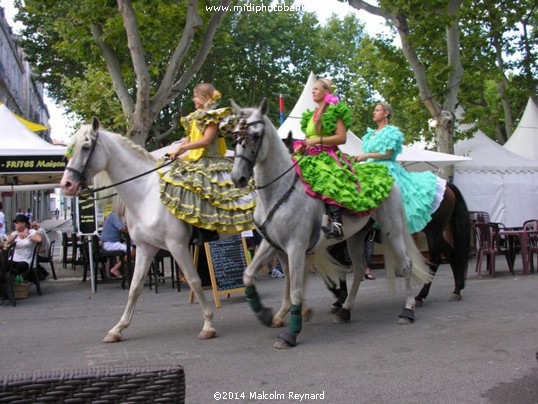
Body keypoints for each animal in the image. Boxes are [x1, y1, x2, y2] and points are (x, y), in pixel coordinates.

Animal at [63, 118, 220, 342]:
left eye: (85, 147)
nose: (66, 184)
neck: (147, 195)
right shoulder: (146, 248)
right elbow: (134, 287)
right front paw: (118, 328)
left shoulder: (178, 245)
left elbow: (194, 281)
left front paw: (208, 324)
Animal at [228, 99, 430, 348]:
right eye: (234, 136)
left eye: (255, 135)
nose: (238, 178)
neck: (277, 192)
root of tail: (388, 178)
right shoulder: (271, 245)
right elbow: (249, 275)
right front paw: (265, 314)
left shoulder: (296, 247)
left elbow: (295, 289)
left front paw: (291, 333)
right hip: (356, 237)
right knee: (359, 270)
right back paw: (345, 311)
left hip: (392, 231)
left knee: (407, 264)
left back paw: (407, 310)